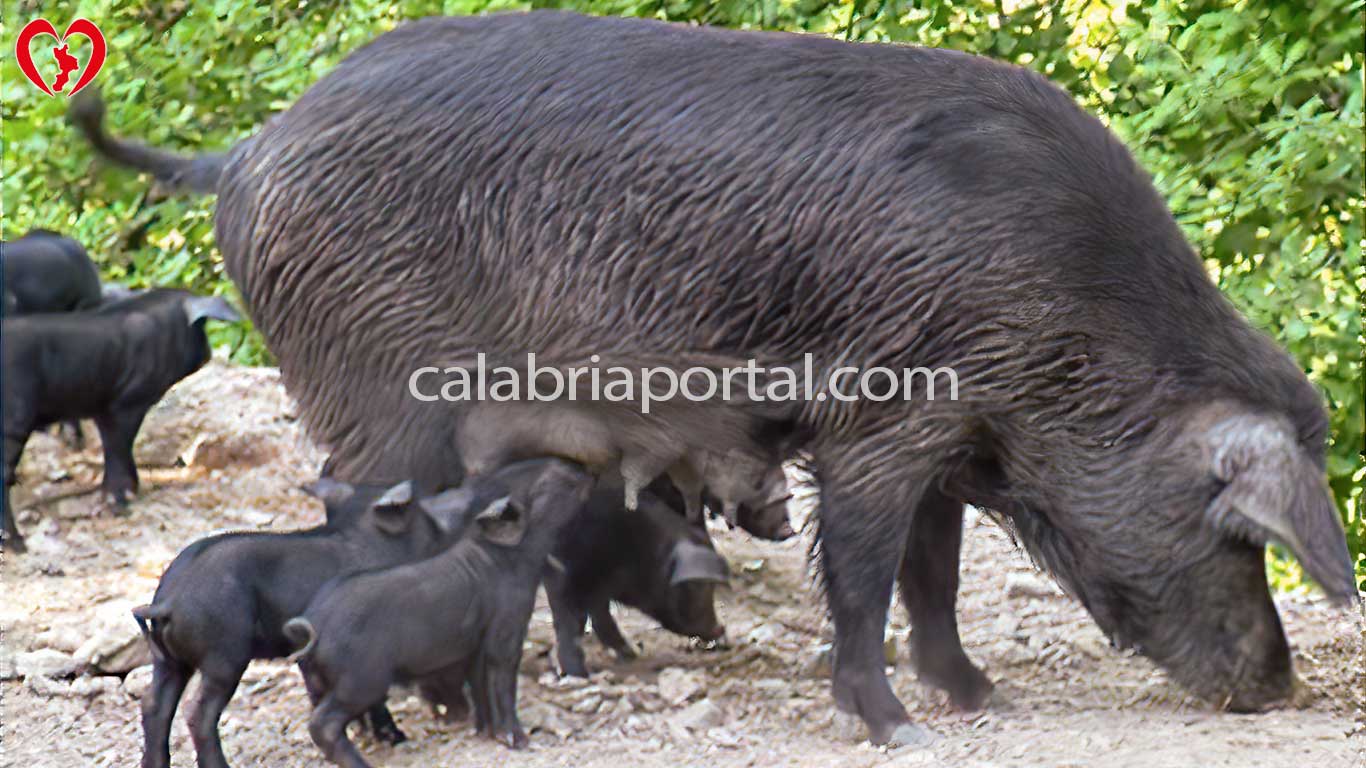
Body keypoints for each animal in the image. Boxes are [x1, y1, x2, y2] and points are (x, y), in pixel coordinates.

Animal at [2, 288, 239, 552]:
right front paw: (121, 503)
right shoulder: (126, 403)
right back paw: (17, 545)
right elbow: (120, 446)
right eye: (201, 326)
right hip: (14, 422)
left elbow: (112, 448)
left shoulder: (103, 407)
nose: (208, 354)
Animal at [132, 479, 473, 768]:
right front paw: (396, 738)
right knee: (197, 713)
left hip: (170, 662)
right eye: (427, 520)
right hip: (224, 657)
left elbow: (319, 693)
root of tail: (167, 601)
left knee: (154, 706)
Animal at [283, 458, 592, 766]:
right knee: (322, 724)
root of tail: (315, 628)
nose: (583, 471)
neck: (504, 558)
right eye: (546, 486)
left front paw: (484, 734)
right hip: (362, 680)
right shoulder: (507, 629)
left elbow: (480, 687)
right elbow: (503, 681)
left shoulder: (474, 649)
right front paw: (519, 741)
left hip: (319, 683)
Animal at [546, 483, 730, 678]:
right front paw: (576, 673)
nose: (720, 628)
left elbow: (597, 615)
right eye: (694, 584)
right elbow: (570, 616)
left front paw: (632, 653)